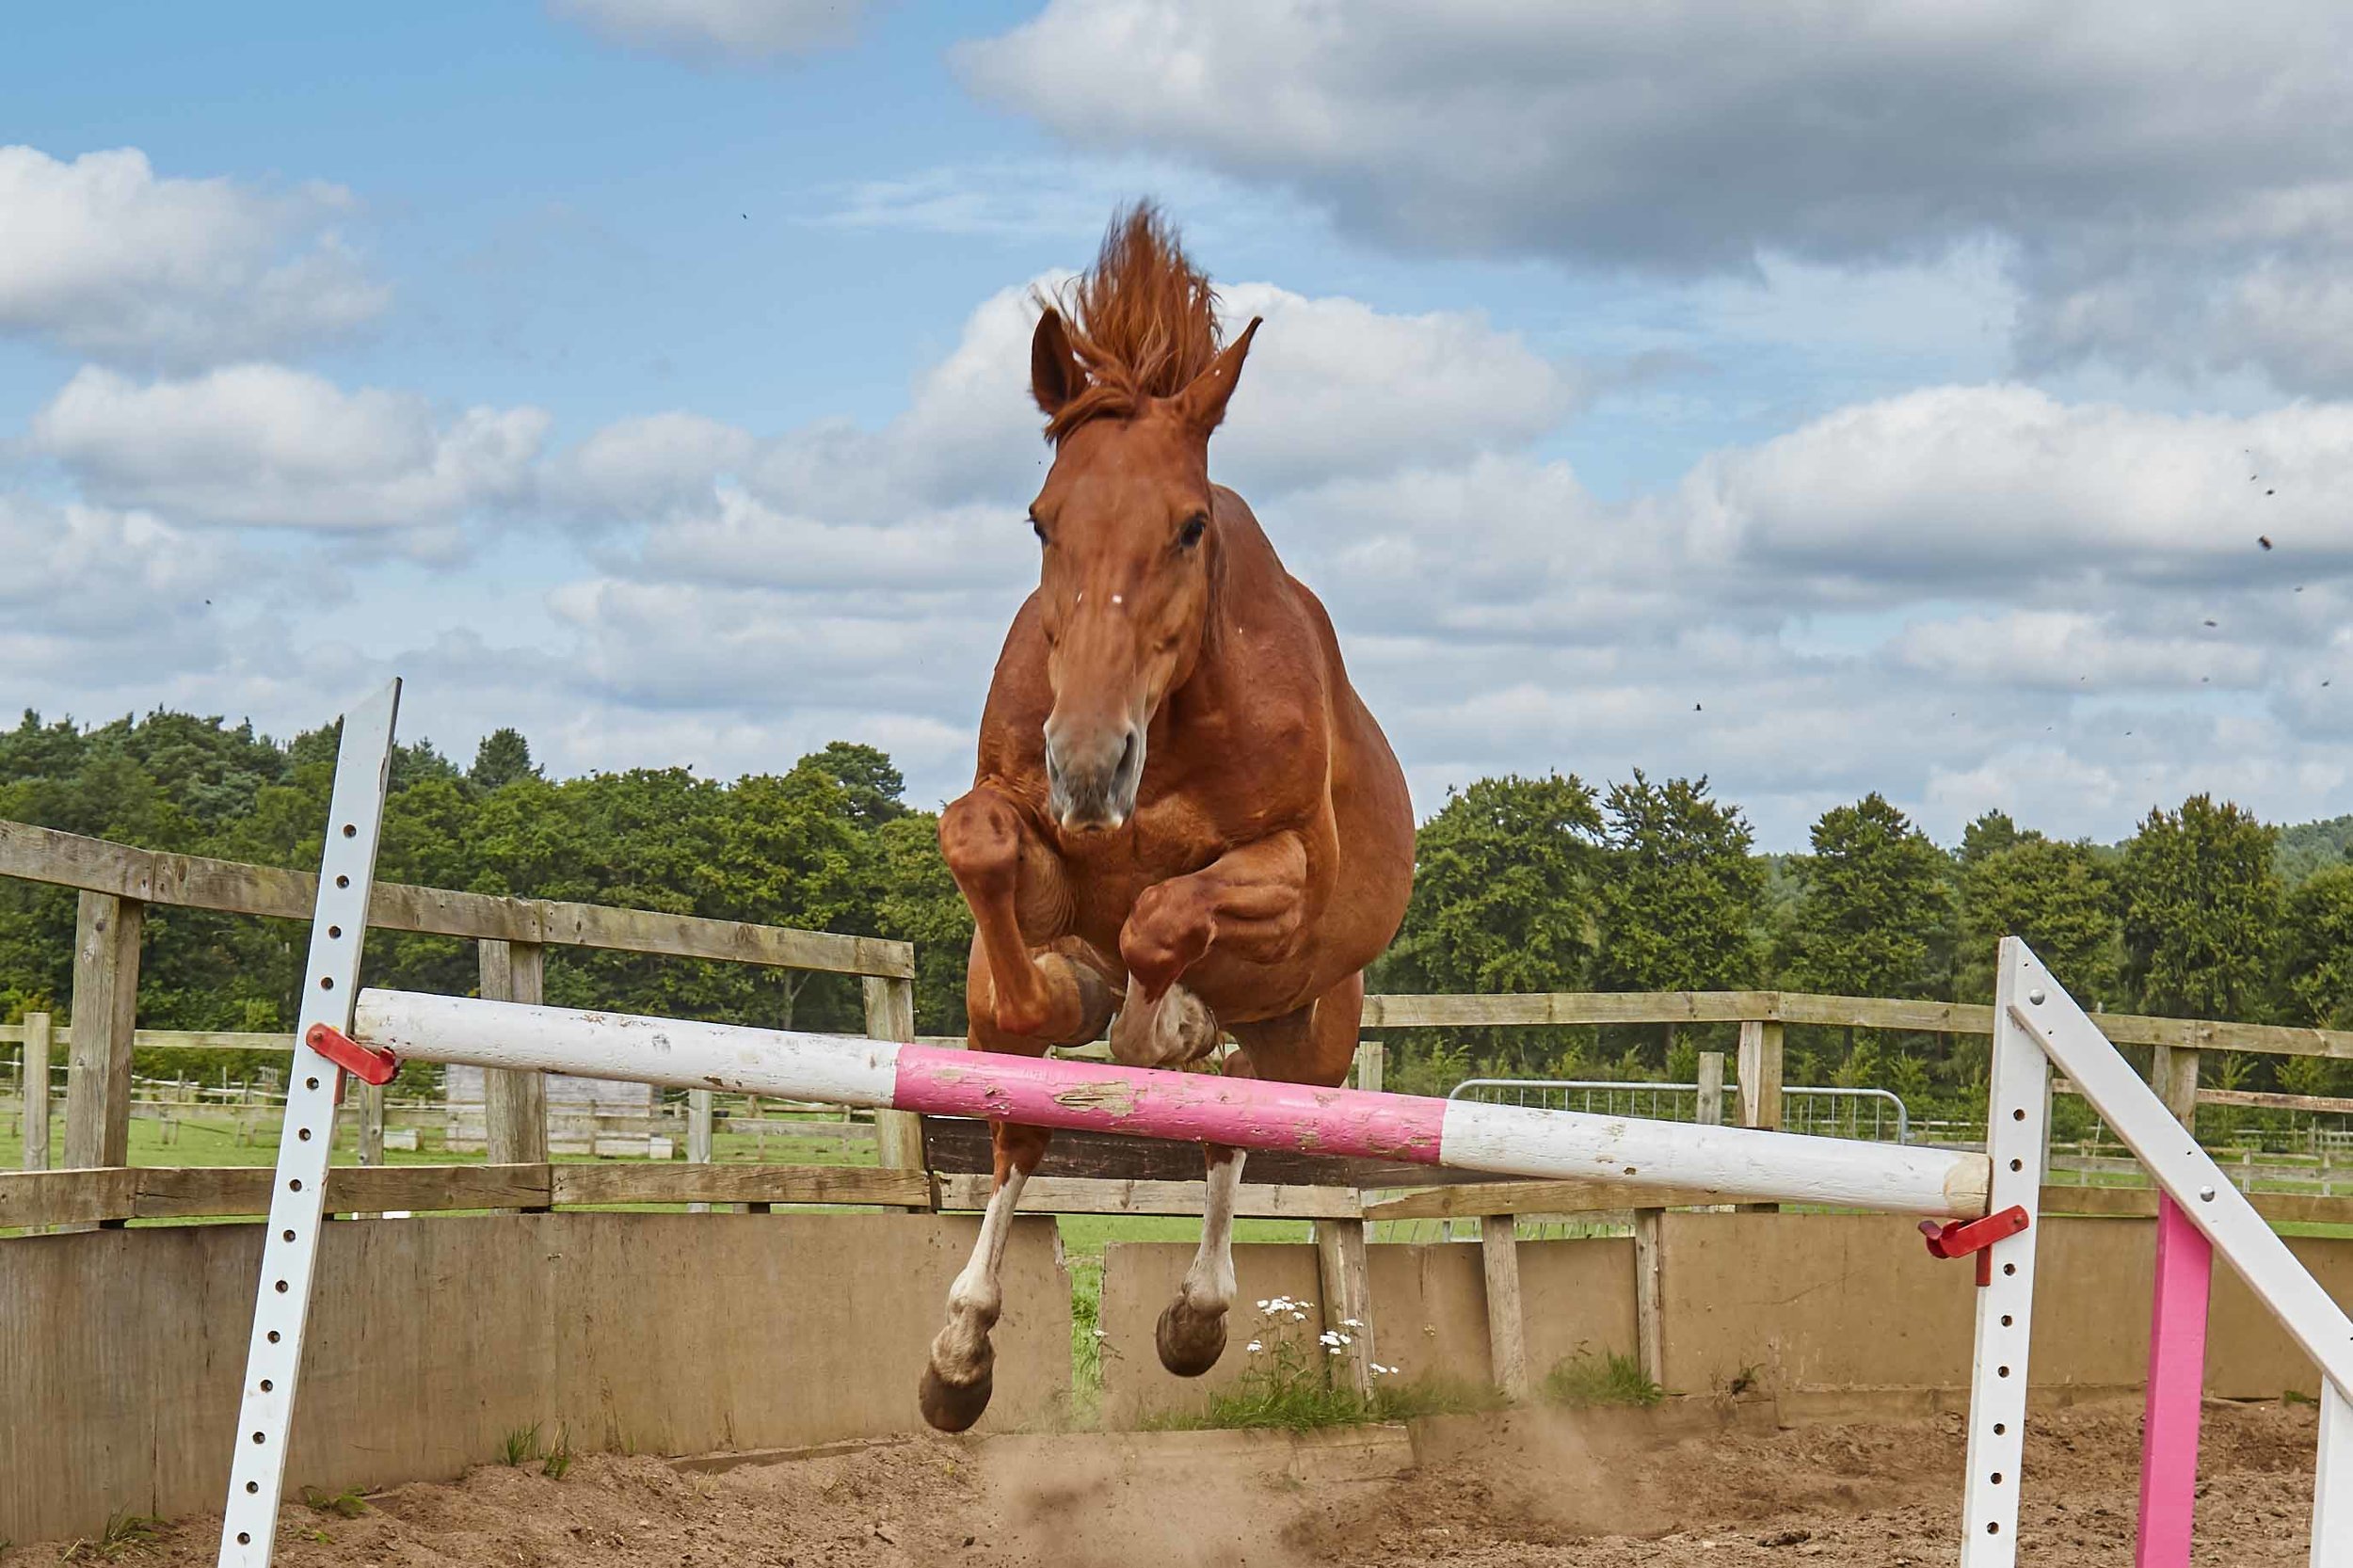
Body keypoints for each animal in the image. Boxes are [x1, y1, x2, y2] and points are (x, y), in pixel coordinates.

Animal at [918, 200, 1402, 1421]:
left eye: (1187, 526)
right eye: (1041, 521)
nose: (1091, 769)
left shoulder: (1285, 877)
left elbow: (1165, 922)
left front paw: (1161, 1023)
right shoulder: (1028, 836)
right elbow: (985, 849)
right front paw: (1047, 992)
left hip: (1313, 1039)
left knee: (1238, 1122)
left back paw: (1195, 1312)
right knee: (1024, 1132)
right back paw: (962, 1351)